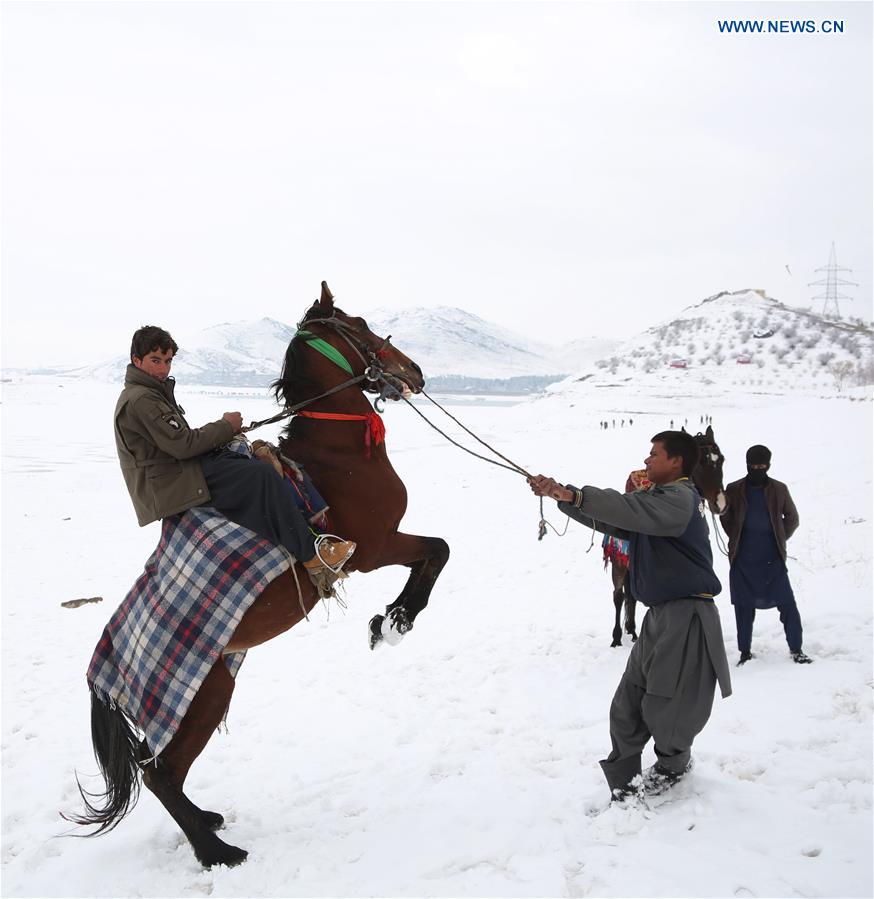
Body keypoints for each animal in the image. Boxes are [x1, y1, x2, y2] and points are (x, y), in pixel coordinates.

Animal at [68, 284, 446, 872]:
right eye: (360, 324)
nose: (413, 371)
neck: (336, 458)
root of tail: (103, 673)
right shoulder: (374, 547)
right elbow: (438, 552)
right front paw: (394, 620)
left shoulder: (382, 546)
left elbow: (436, 554)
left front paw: (389, 619)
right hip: (200, 702)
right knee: (159, 775)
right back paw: (217, 853)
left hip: (207, 696)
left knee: (163, 768)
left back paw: (206, 824)